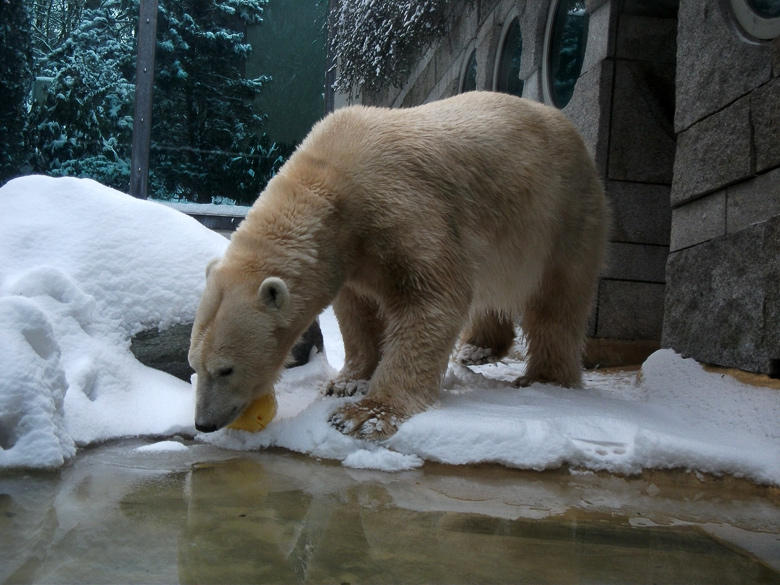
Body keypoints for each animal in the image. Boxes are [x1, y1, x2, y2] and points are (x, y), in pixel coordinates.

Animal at [187, 91, 608, 438]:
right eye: (194, 365)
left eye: (225, 369)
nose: (204, 423)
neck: (330, 183)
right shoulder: (350, 254)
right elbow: (357, 311)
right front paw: (344, 382)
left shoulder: (400, 208)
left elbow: (434, 298)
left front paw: (362, 415)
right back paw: (477, 348)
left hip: (561, 214)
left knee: (557, 301)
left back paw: (545, 378)